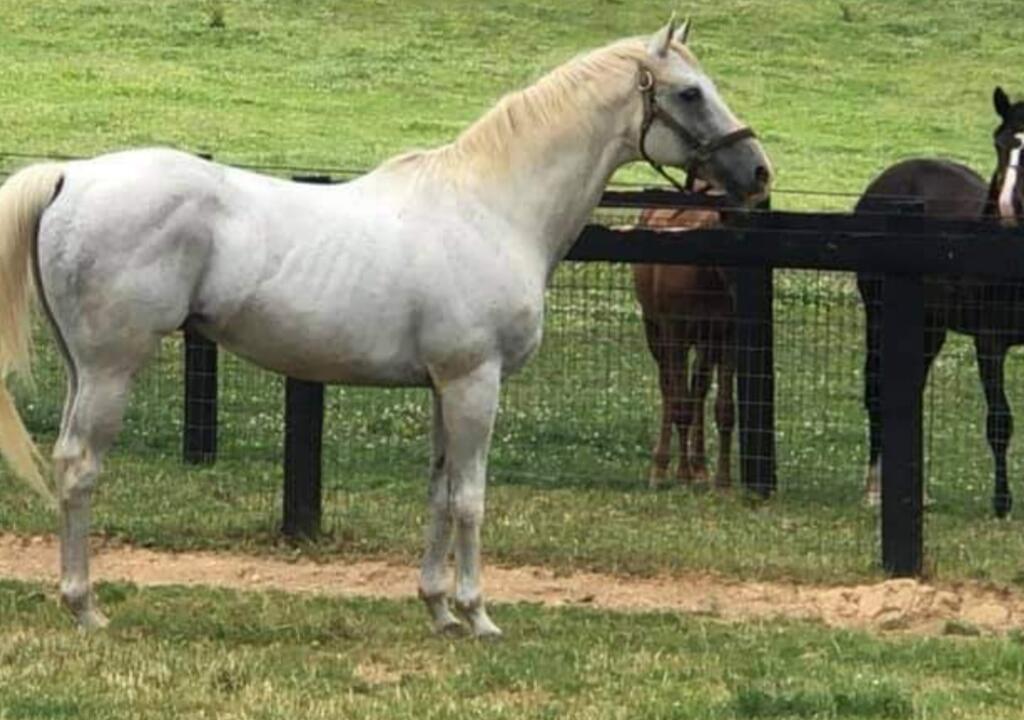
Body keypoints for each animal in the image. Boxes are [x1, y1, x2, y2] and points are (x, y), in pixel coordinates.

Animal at [632, 202, 735, 488]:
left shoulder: (727, 338)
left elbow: (724, 409)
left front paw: (723, 481)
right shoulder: (675, 333)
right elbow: (679, 402)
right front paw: (682, 474)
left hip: (705, 344)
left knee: (697, 391)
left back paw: (700, 468)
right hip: (656, 332)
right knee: (669, 388)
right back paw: (661, 468)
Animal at [857, 86, 1024, 517]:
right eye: (999, 143)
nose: (1008, 208)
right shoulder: (989, 343)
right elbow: (1000, 422)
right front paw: (1002, 505)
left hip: (928, 325)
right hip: (879, 316)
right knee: (877, 387)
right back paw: (874, 487)